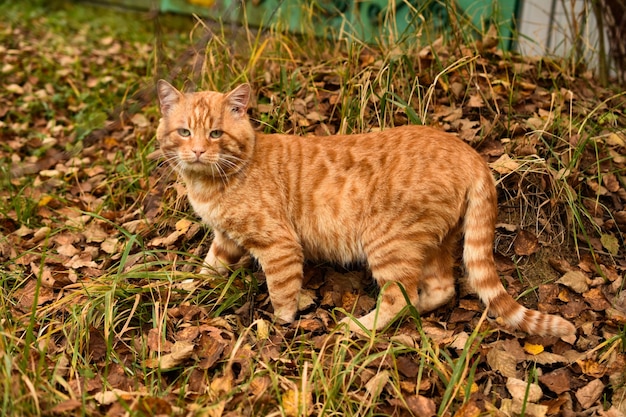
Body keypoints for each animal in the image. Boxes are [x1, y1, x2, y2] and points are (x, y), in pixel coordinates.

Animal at [156, 79, 576, 336]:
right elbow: (209, 266)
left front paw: (280, 328)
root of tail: (468, 152)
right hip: (437, 242)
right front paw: (186, 286)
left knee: (399, 296)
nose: (197, 151)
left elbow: (282, 294)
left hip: (388, 243)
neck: (213, 182)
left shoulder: (278, 245)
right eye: (184, 132)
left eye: (215, 134)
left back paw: (360, 328)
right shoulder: (226, 238)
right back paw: (417, 313)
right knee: (440, 289)